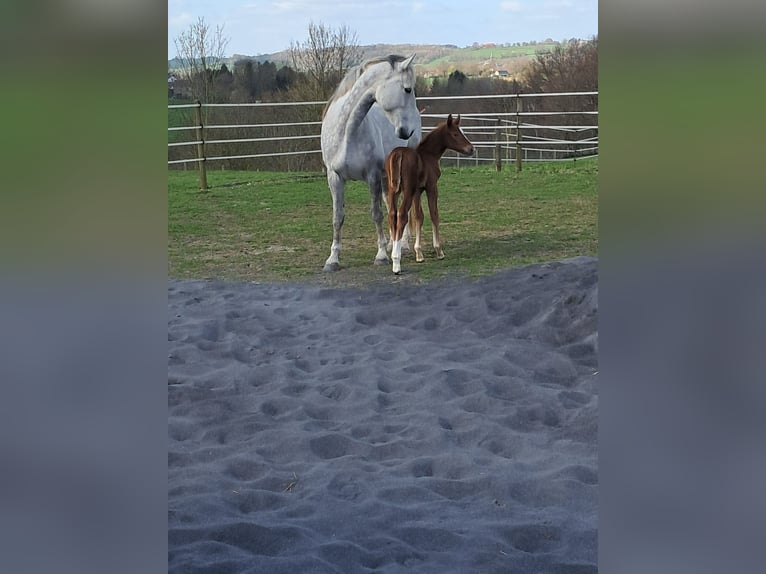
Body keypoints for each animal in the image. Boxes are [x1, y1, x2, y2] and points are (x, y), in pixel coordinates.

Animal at [320, 55, 422, 272]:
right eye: (407, 89)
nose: (406, 131)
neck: (347, 133)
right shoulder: (334, 177)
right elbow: (337, 217)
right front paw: (333, 259)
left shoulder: (372, 176)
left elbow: (376, 214)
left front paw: (381, 255)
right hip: (387, 176)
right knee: (392, 205)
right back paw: (394, 243)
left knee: (405, 206)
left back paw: (404, 244)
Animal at [384, 114, 474, 274]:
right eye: (455, 134)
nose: (471, 149)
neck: (428, 154)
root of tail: (398, 154)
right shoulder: (431, 187)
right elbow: (434, 214)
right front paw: (439, 251)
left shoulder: (417, 191)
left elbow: (419, 217)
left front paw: (419, 254)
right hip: (406, 191)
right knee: (401, 215)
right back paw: (396, 263)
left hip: (393, 191)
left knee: (392, 215)